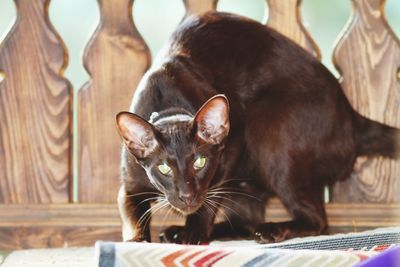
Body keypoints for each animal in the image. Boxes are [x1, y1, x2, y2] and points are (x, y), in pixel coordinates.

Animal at [114, 11, 398, 245]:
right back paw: (182, 231)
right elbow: (132, 218)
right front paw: (137, 242)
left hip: (268, 128)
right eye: (163, 167)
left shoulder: (232, 145)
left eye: (200, 162)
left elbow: (208, 202)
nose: (186, 195)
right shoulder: (129, 187)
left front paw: (193, 233)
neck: (168, 104)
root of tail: (351, 117)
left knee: (316, 220)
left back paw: (271, 230)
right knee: (245, 222)